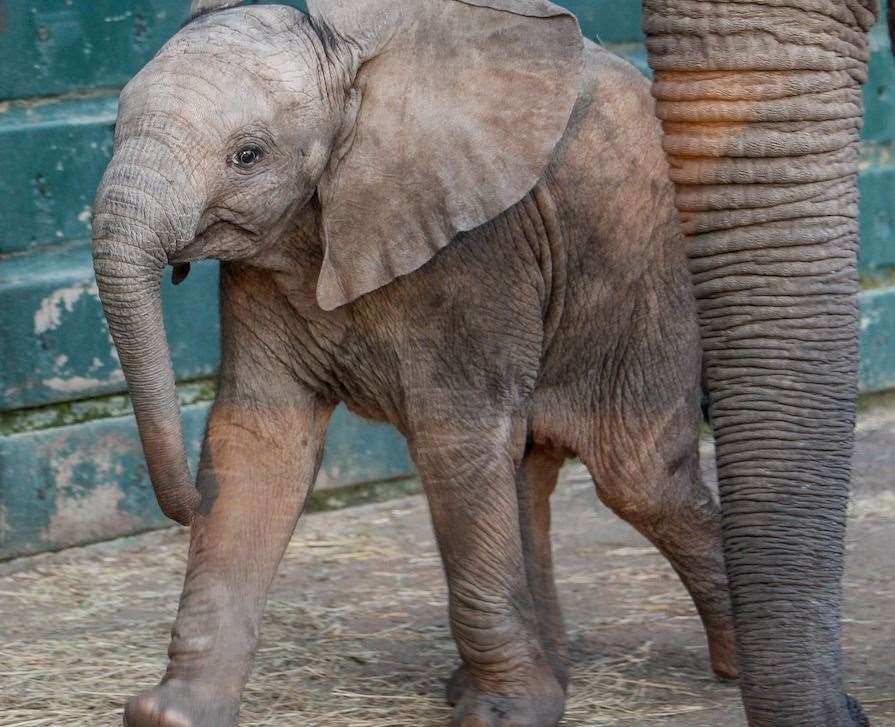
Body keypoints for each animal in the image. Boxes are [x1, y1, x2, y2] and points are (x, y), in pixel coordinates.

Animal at [91, 1, 740, 727]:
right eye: (113, 130)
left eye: (247, 155)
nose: (186, 506)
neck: (348, 66)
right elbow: (258, 440)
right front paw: (171, 714)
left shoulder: (477, 248)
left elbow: (452, 439)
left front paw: (500, 719)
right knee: (529, 473)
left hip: (646, 266)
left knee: (640, 478)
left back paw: (736, 667)